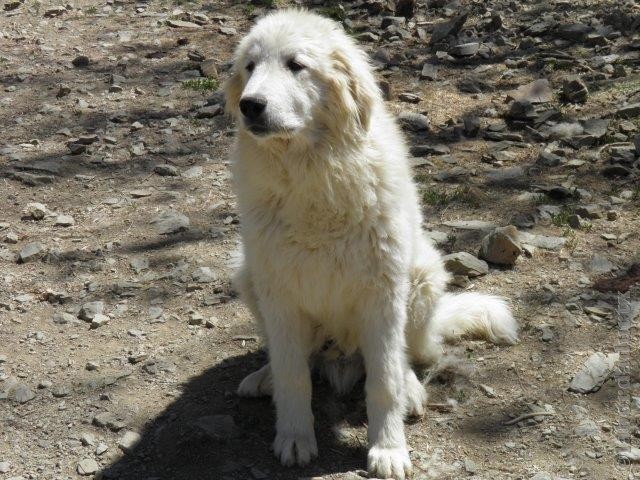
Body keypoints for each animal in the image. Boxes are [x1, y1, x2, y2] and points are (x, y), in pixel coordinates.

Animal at [225, 9, 520, 478]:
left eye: (296, 65)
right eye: (250, 67)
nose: (249, 105)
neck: (313, 176)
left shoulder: (381, 295)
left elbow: (383, 381)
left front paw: (388, 449)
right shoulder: (279, 293)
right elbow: (294, 376)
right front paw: (294, 437)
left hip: (421, 277)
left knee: (405, 356)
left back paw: (411, 390)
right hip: (246, 273)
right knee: (297, 357)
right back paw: (265, 377)